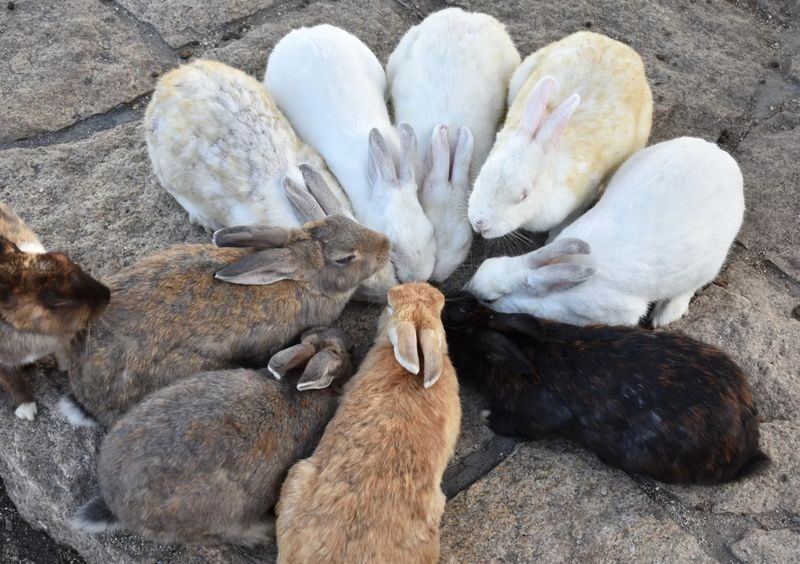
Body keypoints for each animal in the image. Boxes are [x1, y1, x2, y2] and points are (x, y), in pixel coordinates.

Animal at [0, 203, 109, 421]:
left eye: (64, 258)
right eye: (56, 298)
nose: (107, 295)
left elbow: (61, 351)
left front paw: (66, 367)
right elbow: (12, 381)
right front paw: (27, 410)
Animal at [465, 137, 745, 327]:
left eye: (491, 300)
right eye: (486, 264)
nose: (468, 289)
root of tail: (720, 155)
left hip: (709, 262)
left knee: (692, 286)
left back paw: (665, 315)